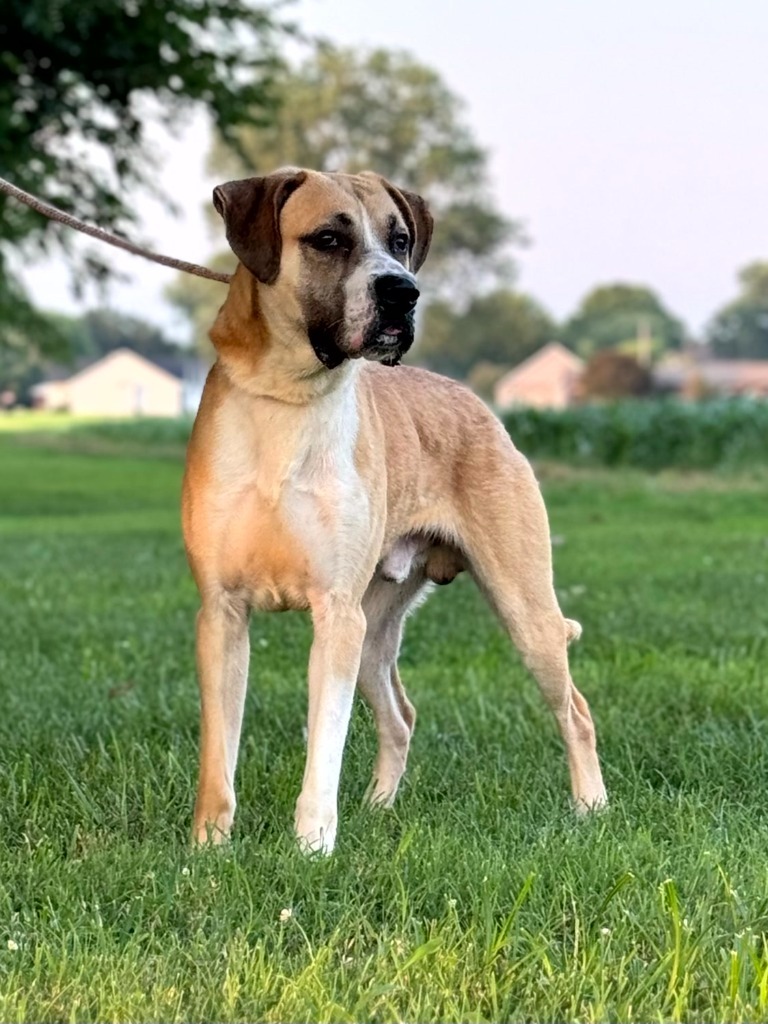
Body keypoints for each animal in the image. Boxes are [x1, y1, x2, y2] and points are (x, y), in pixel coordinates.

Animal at [182, 169, 606, 856]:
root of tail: (479, 404)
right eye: (328, 238)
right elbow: (219, 751)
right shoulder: (221, 613)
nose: (403, 292)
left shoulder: (335, 614)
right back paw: (377, 808)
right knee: (402, 716)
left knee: (575, 709)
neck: (287, 397)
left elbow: (324, 746)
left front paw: (312, 848)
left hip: (522, 608)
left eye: (400, 238)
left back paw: (591, 807)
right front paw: (209, 848)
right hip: (375, 632)